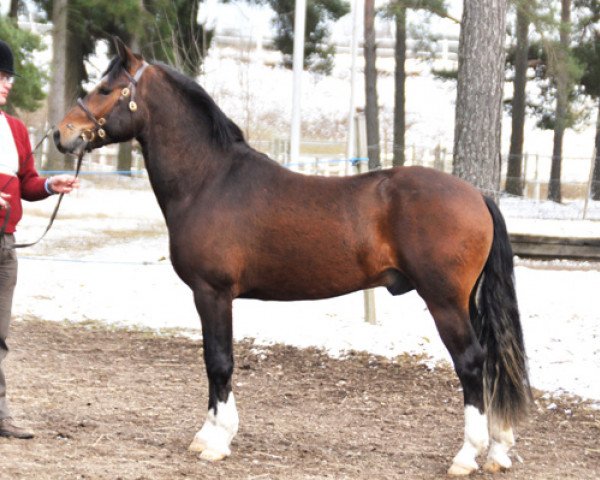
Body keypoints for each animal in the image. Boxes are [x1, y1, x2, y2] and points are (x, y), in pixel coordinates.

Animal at [52, 39, 528, 474]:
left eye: (106, 88)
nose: (61, 133)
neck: (209, 179)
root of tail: (477, 195)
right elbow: (211, 360)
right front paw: (206, 434)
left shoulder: (213, 293)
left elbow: (218, 360)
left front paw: (217, 441)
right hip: (466, 302)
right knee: (490, 363)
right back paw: (498, 451)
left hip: (444, 301)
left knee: (471, 363)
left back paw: (466, 455)